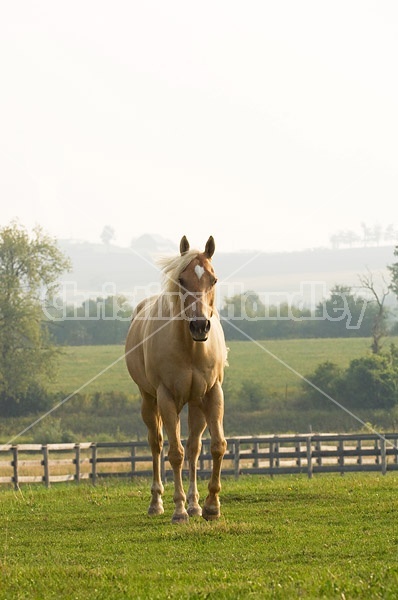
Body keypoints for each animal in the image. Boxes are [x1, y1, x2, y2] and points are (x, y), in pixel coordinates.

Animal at [125, 237, 227, 524]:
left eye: (213, 279)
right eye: (182, 280)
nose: (200, 326)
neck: (190, 347)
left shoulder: (212, 393)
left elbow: (216, 446)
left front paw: (211, 506)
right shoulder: (167, 397)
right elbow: (175, 453)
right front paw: (179, 510)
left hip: (195, 404)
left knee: (193, 447)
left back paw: (195, 504)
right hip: (149, 400)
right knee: (157, 444)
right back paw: (157, 503)